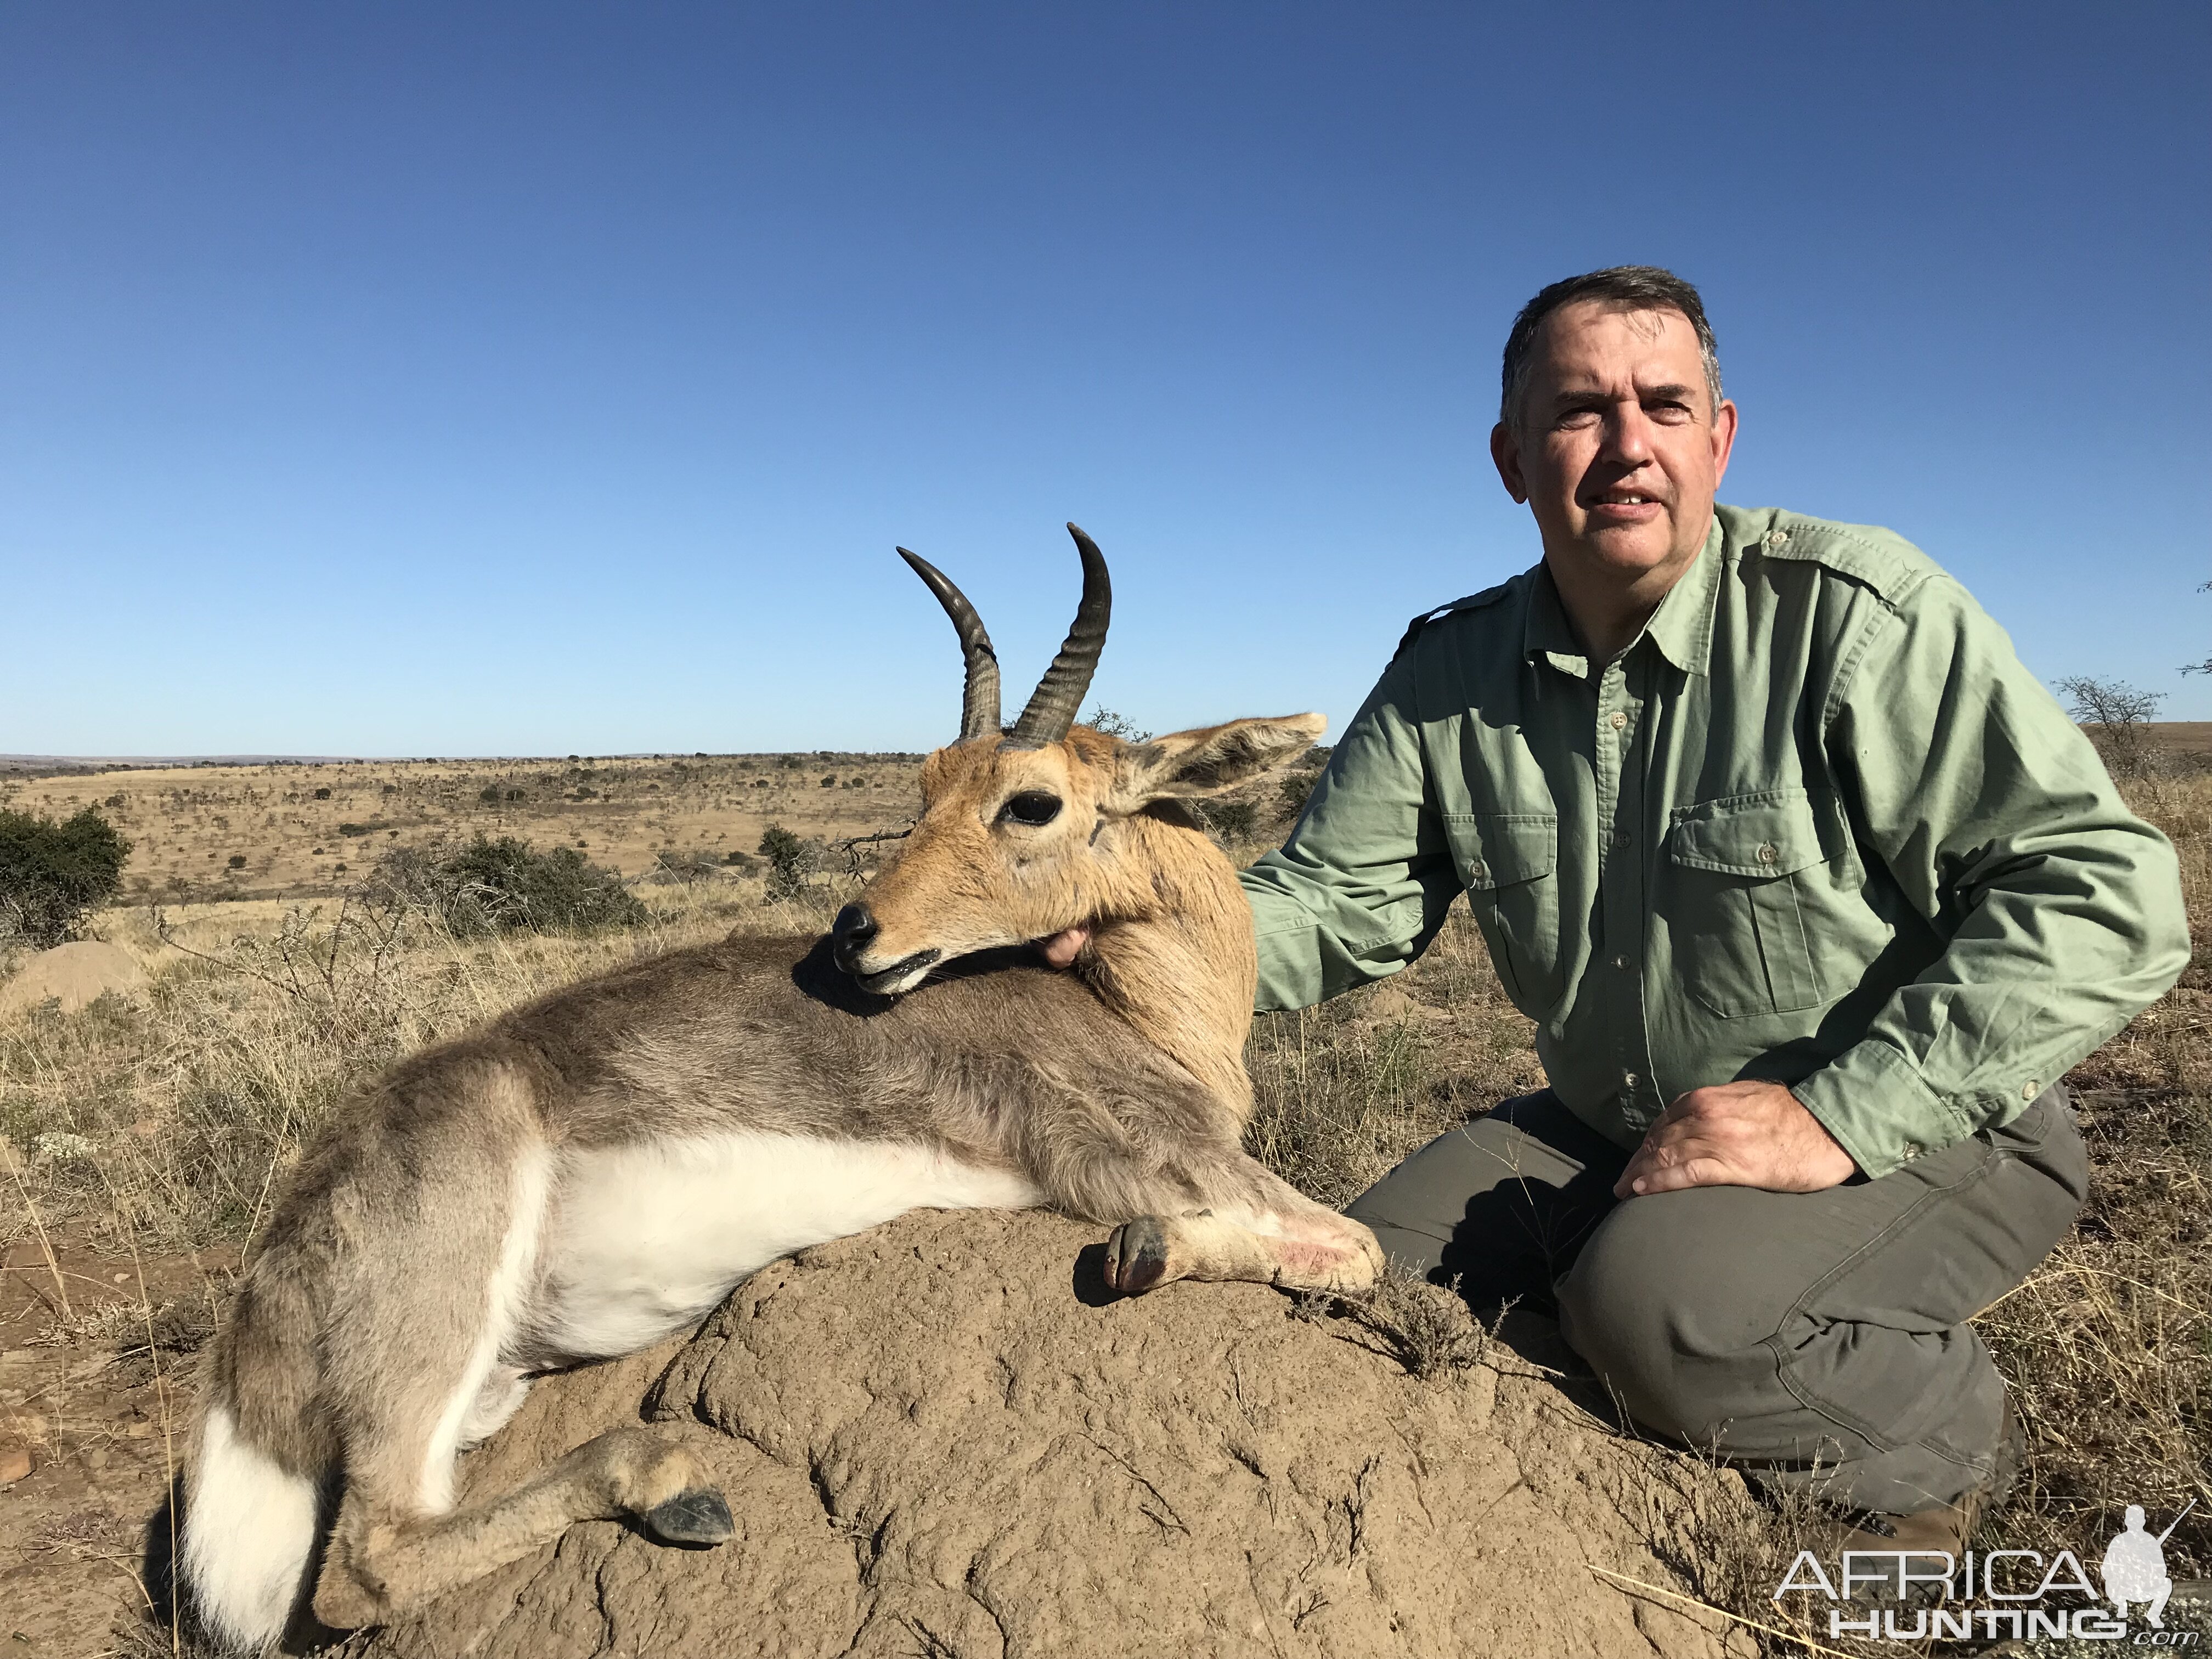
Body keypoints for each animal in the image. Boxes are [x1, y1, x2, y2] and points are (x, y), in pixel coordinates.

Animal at [177, 526, 1380, 1654]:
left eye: (1030, 800)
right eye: (928, 781)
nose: (855, 935)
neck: (1147, 1018)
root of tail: (273, 1269)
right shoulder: (1142, 1160)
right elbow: (1353, 1248)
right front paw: (1150, 1252)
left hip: (487, 1383)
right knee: (365, 1565)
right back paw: (676, 1484)